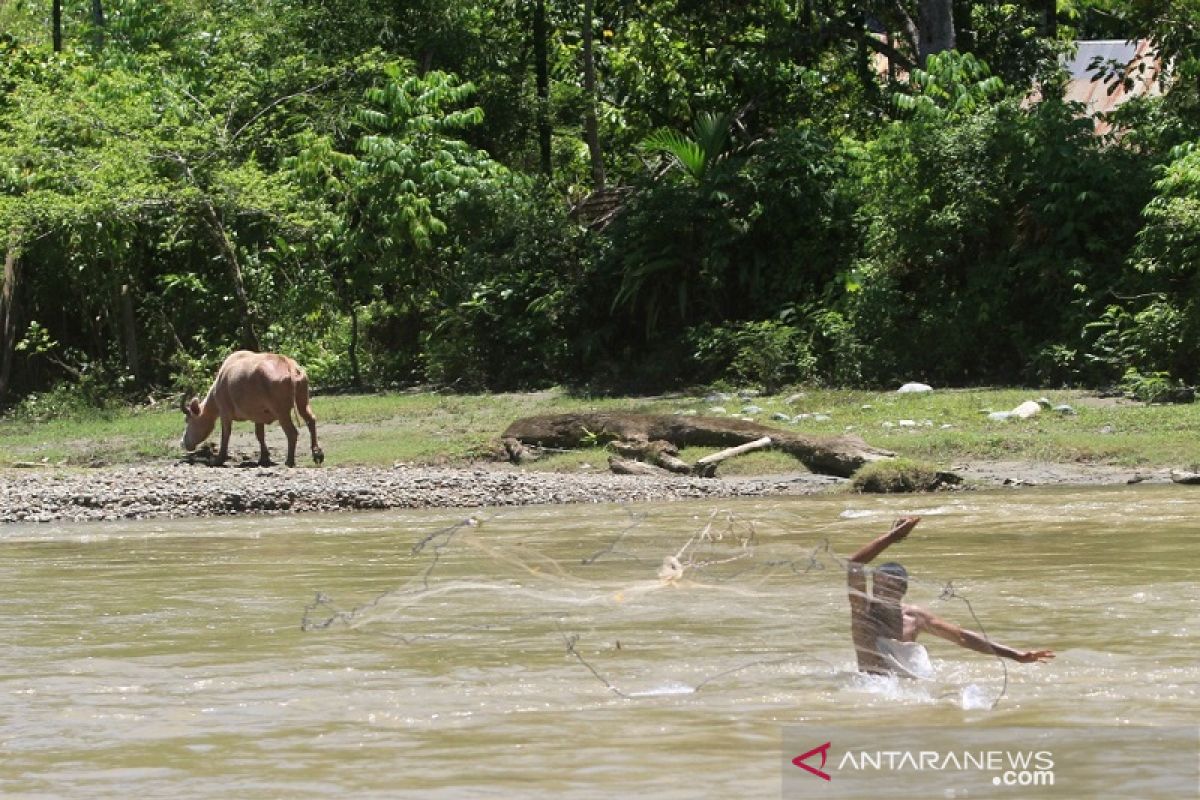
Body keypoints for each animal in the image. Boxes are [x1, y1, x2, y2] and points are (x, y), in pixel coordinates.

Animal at [181, 352, 324, 470]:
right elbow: (259, 435)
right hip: (302, 402)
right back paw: (317, 454)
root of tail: (288, 364)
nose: (183, 442)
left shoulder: (225, 413)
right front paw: (264, 458)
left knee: (292, 433)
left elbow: (225, 435)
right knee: (311, 420)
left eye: (187, 420)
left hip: (281, 412)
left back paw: (289, 461)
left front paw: (218, 460)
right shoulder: (258, 416)